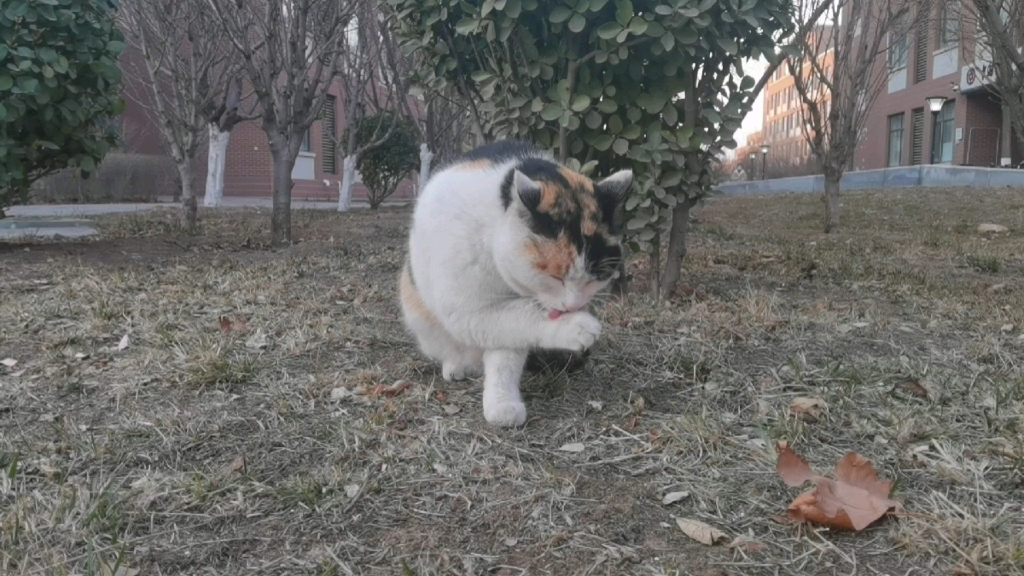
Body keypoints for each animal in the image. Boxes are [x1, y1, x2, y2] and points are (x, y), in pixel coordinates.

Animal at [399, 140, 630, 424]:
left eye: (594, 278)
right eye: (555, 276)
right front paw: (577, 327)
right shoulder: (467, 311)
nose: (574, 306)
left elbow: (507, 351)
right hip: (418, 313)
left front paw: (502, 404)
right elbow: (526, 315)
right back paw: (457, 366)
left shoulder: (501, 324)